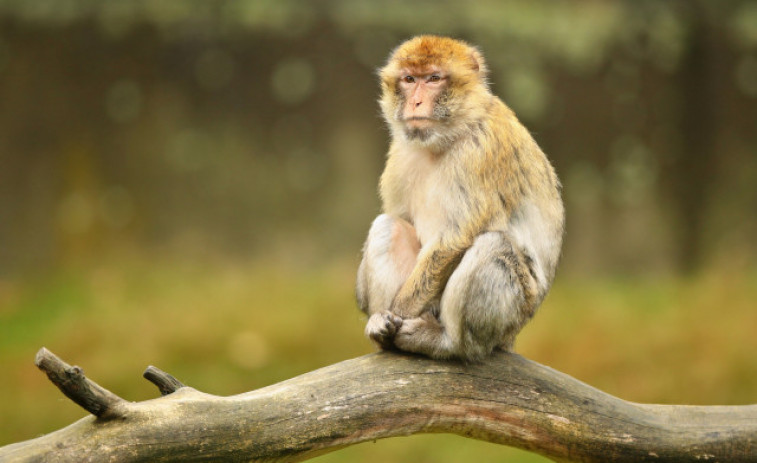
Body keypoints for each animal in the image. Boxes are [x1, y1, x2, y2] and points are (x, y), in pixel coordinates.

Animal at [354, 36, 560, 362]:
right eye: (409, 79)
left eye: (433, 79)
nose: (415, 102)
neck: (449, 135)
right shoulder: (400, 153)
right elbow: (400, 219)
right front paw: (373, 308)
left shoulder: (481, 152)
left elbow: (454, 240)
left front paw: (398, 312)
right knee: (389, 225)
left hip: (511, 316)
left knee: (494, 245)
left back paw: (446, 342)